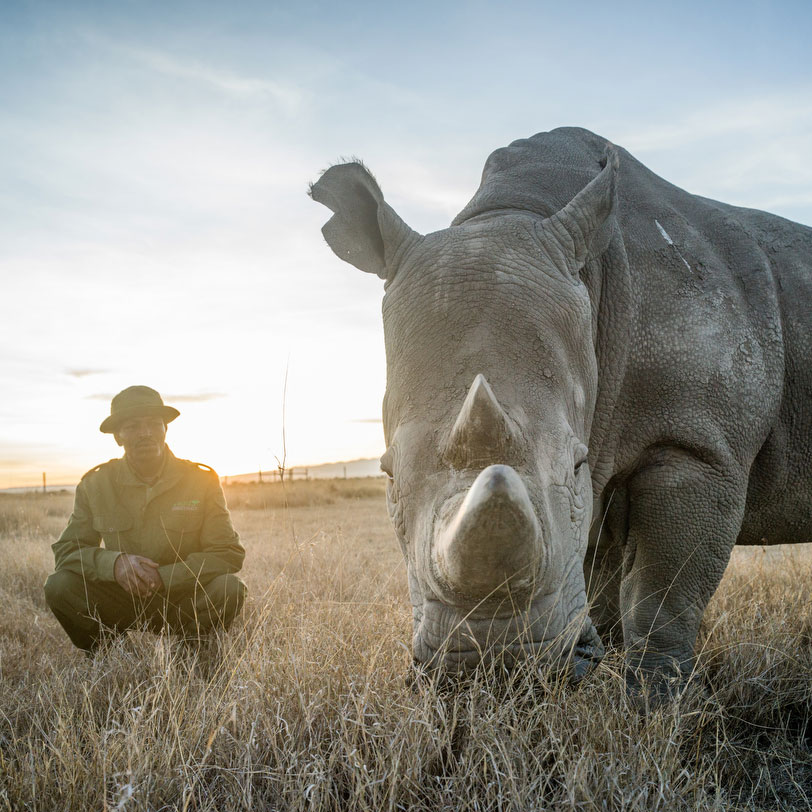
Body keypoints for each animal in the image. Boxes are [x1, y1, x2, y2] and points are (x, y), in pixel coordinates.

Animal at [311, 127, 812, 691]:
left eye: (576, 464)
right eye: (388, 477)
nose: (497, 667)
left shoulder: (699, 444)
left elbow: (662, 591)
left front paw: (654, 697)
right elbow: (598, 571)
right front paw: (602, 663)